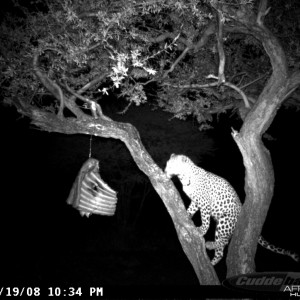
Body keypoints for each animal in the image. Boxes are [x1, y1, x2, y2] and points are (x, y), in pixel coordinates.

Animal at [165, 154, 298, 266]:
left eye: (172, 165)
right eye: (167, 164)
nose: (165, 171)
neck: (184, 177)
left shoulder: (204, 203)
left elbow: (205, 219)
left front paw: (201, 230)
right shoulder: (196, 201)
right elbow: (191, 209)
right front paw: (186, 215)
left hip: (225, 221)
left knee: (224, 242)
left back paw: (209, 244)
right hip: (221, 227)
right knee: (221, 251)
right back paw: (212, 261)